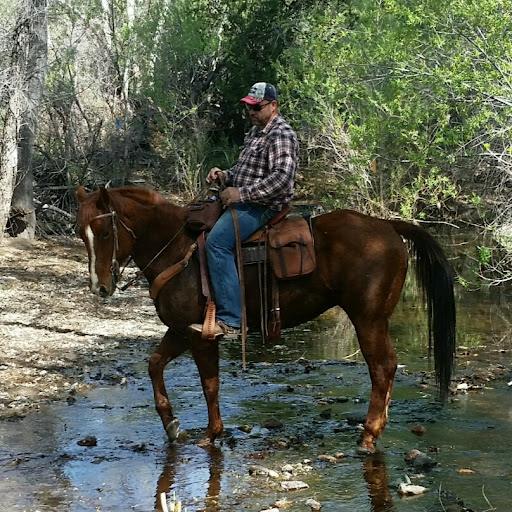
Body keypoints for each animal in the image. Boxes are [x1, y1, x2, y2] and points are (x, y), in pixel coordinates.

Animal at [76, 184, 456, 452]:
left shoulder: (201, 335)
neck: (177, 249)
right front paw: (172, 425)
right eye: (82, 234)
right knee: (386, 369)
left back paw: (369, 435)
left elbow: (210, 384)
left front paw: (211, 434)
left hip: (368, 319)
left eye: (106, 233)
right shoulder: (181, 330)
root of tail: (389, 225)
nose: (100, 287)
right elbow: (155, 364)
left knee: (382, 368)